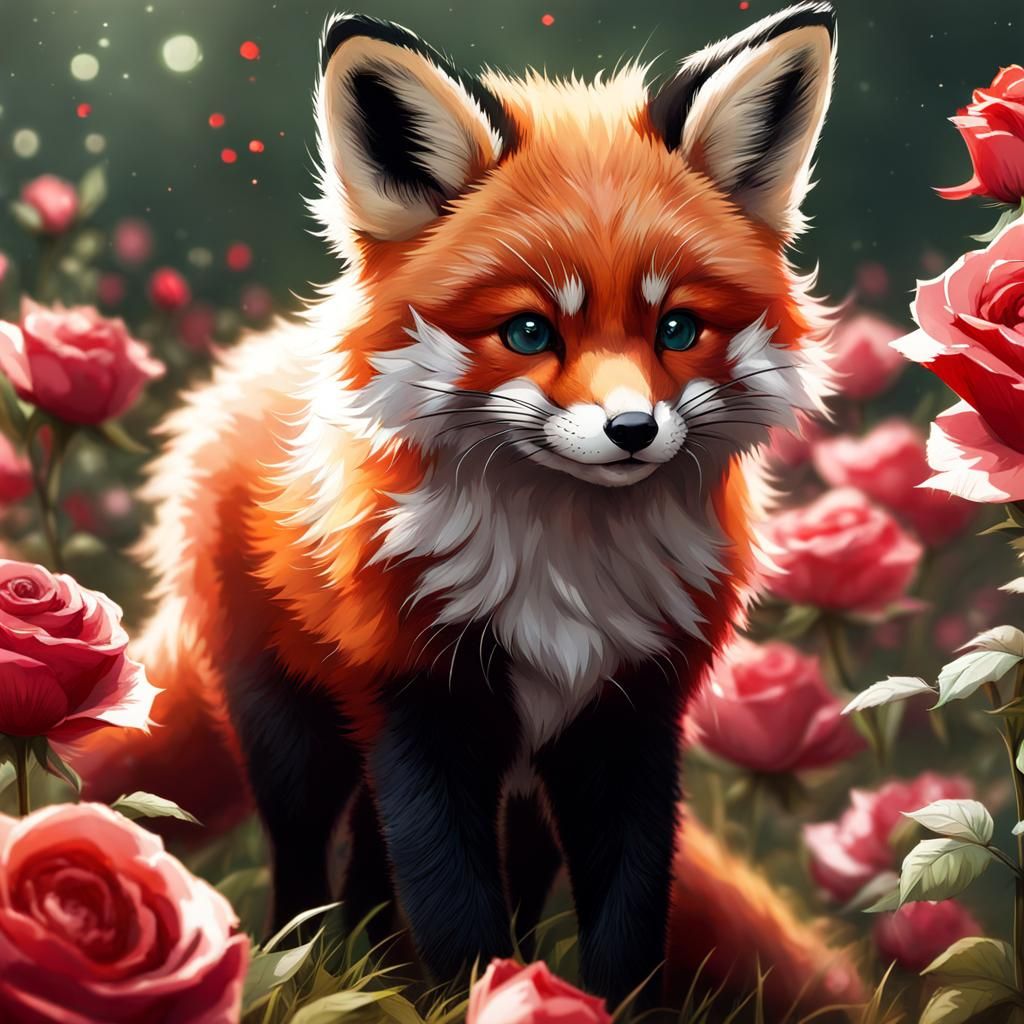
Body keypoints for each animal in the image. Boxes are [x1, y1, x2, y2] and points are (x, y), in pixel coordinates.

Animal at [81, 1, 865, 1013]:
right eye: (529, 331)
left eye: (677, 329)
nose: (632, 429)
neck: (564, 577)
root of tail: (241, 367)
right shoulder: (422, 708)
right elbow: (455, 913)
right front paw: (480, 998)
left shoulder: (627, 718)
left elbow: (626, 919)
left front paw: (571, 1000)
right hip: (297, 724)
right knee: (304, 853)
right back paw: (303, 967)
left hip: (509, 783)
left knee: (413, 868)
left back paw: (379, 965)